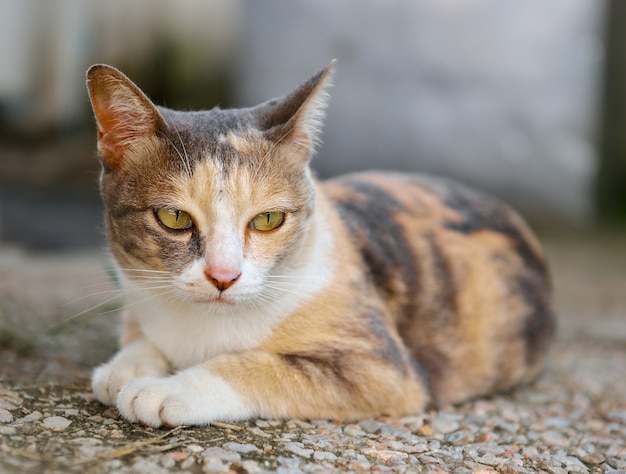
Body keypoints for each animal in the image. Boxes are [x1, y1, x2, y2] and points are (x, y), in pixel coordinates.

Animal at [85, 61, 552, 428]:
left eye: (268, 219)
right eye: (174, 217)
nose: (223, 275)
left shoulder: (380, 367)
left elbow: (256, 366)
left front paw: (164, 391)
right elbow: (141, 336)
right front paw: (125, 366)